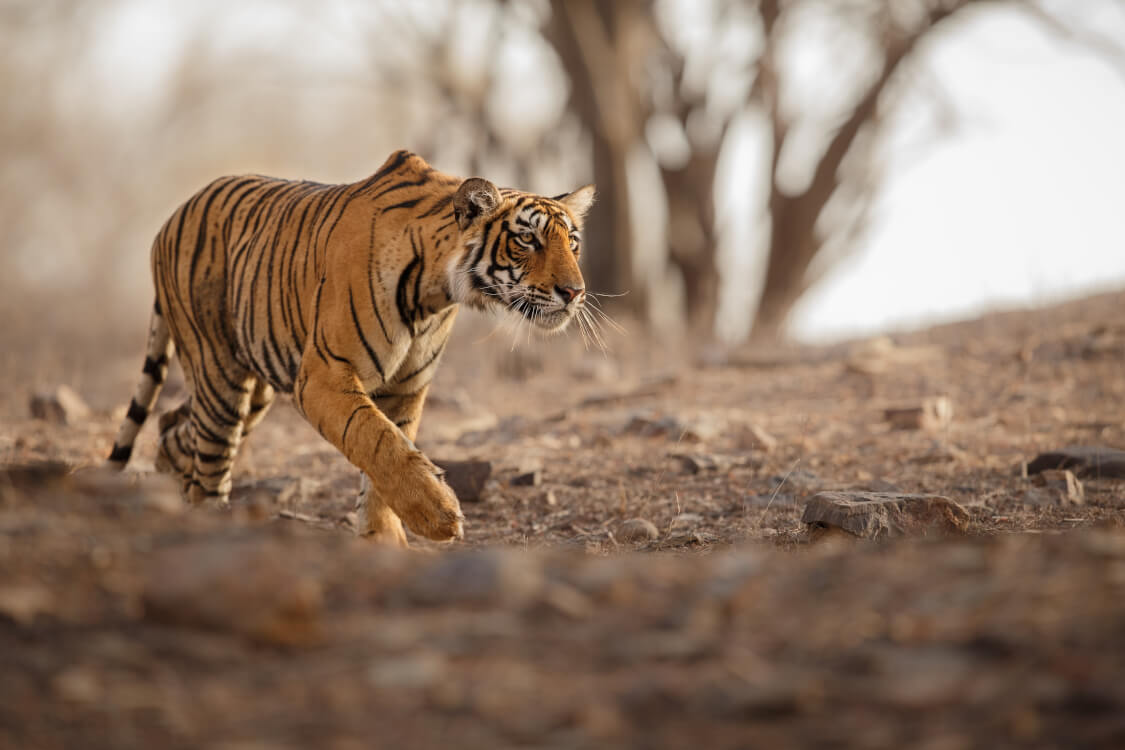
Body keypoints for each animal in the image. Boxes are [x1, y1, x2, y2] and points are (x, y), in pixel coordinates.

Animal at [106, 149, 598, 546]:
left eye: (573, 243)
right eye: (527, 239)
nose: (575, 291)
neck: (435, 294)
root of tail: (171, 217)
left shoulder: (406, 387)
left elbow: (387, 456)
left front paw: (385, 541)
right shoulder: (323, 374)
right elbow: (375, 440)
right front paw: (438, 515)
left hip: (254, 384)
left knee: (174, 426)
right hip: (219, 373)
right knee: (208, 463)